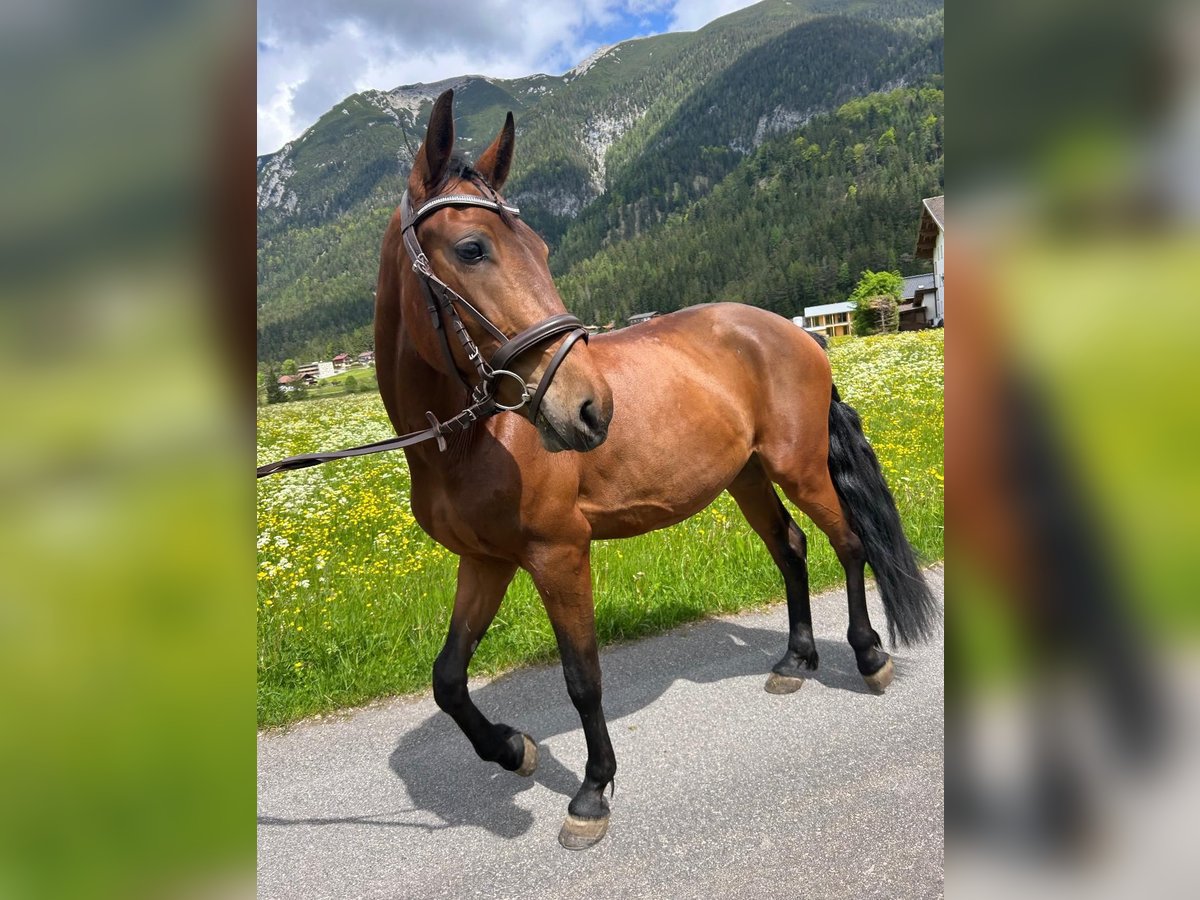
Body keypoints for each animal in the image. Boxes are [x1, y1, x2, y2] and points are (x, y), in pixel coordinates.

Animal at [373, 89, 939, 850]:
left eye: (541, 250)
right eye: (471, 249)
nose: (589, 408)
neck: (470, 439)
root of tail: (797, 333)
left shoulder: (558, 554)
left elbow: (583, 677)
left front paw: (592, 791)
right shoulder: (486, 560)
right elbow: (448, 679)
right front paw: (513, 749)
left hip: (798, 468)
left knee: (847, 543)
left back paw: (870, 657)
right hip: (746, 476)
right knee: (791, 548)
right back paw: (795, 661)